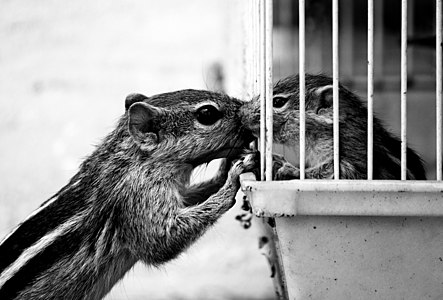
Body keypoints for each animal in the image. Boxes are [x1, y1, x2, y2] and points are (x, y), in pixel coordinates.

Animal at [0, 90, 256, 300]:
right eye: (207, 114)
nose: (244, 108)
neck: (134, 160)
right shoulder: (137, 197)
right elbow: (162, 241)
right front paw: (231, 180)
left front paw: (224, 171)